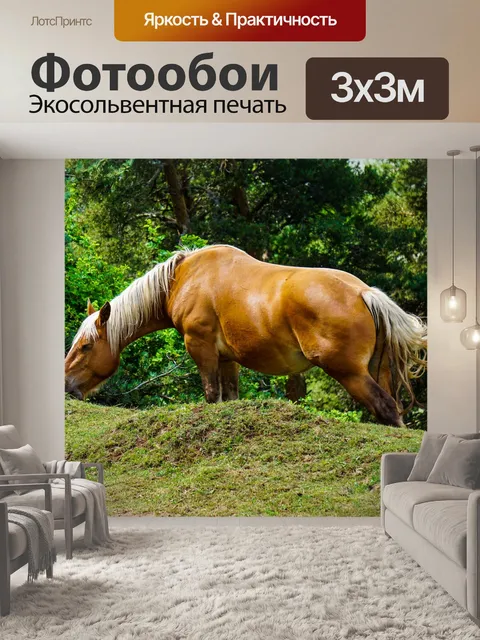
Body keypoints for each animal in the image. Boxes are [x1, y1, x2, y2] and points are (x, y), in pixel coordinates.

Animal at [65, 244, 427, 426]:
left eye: (85, 346)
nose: (66, 386)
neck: (182, 278)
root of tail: (364, 292)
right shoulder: (228, 359)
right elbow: (229, 398)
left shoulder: (202, 349)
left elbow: (211, 395)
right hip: (377, 371)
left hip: (349, 372)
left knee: (387, 409)